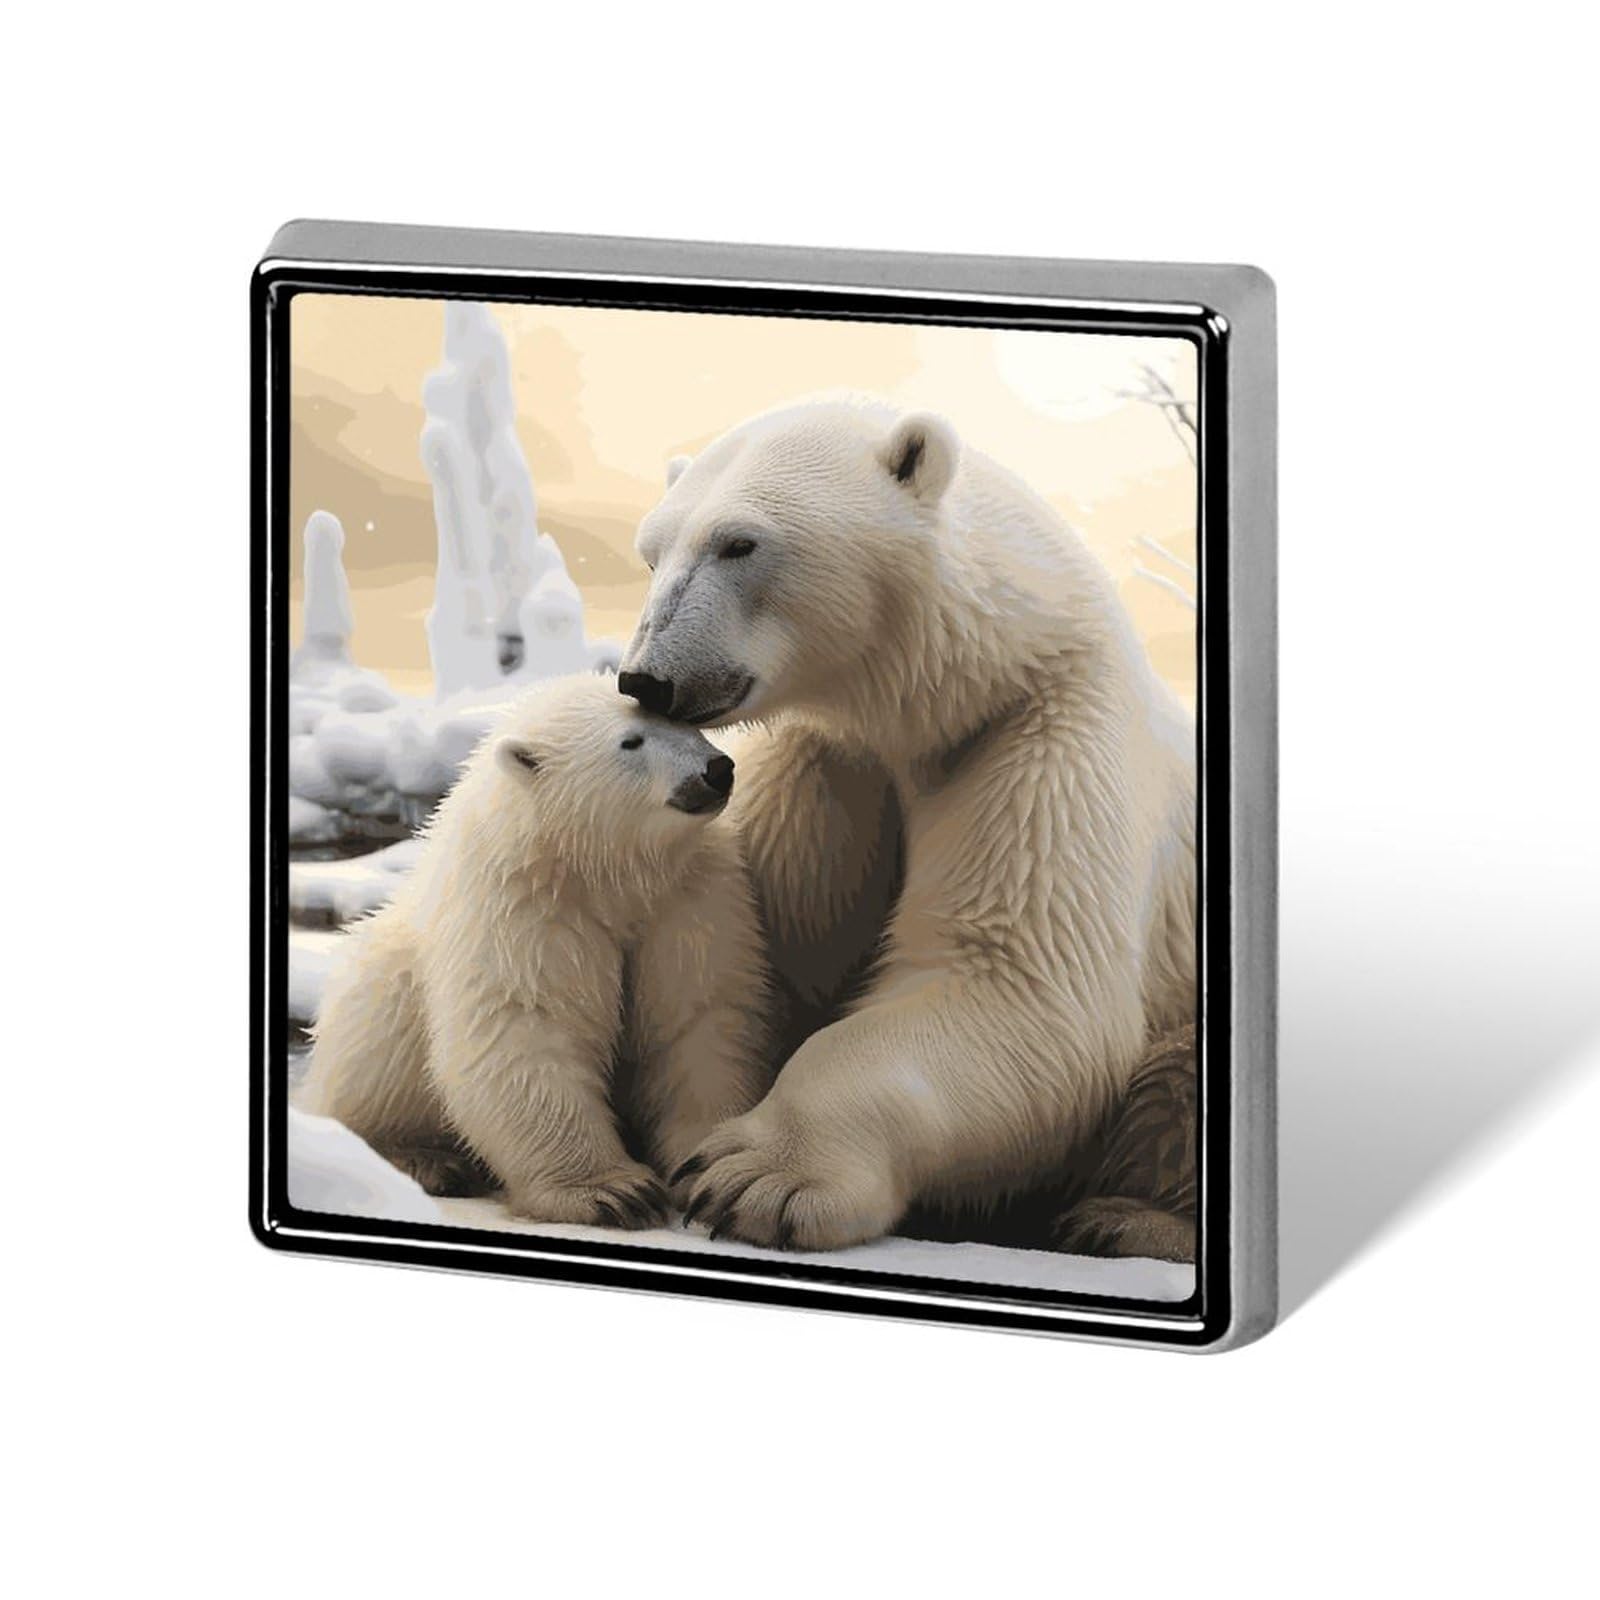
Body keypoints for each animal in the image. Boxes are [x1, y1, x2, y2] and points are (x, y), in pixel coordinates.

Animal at [298, 672, 771, 1227]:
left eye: (687, 724)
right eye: (631, 741)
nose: (717, 769)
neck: (603, 868)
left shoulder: (688, 896)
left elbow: (697, 1018)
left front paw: (707, 1164)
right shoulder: (519, 905)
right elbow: (526, 1026)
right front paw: (612, 1192)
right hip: (376, 1005)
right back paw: (425, 1161)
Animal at [617, 400, 1196, 1256]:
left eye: (739, 543)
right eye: (651, 551)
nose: (647, 678)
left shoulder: (1036, 734)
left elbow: (1014, 984)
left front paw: (755, 1176)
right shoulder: (828, 765)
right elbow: (753, 943)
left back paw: (1122, 1220)